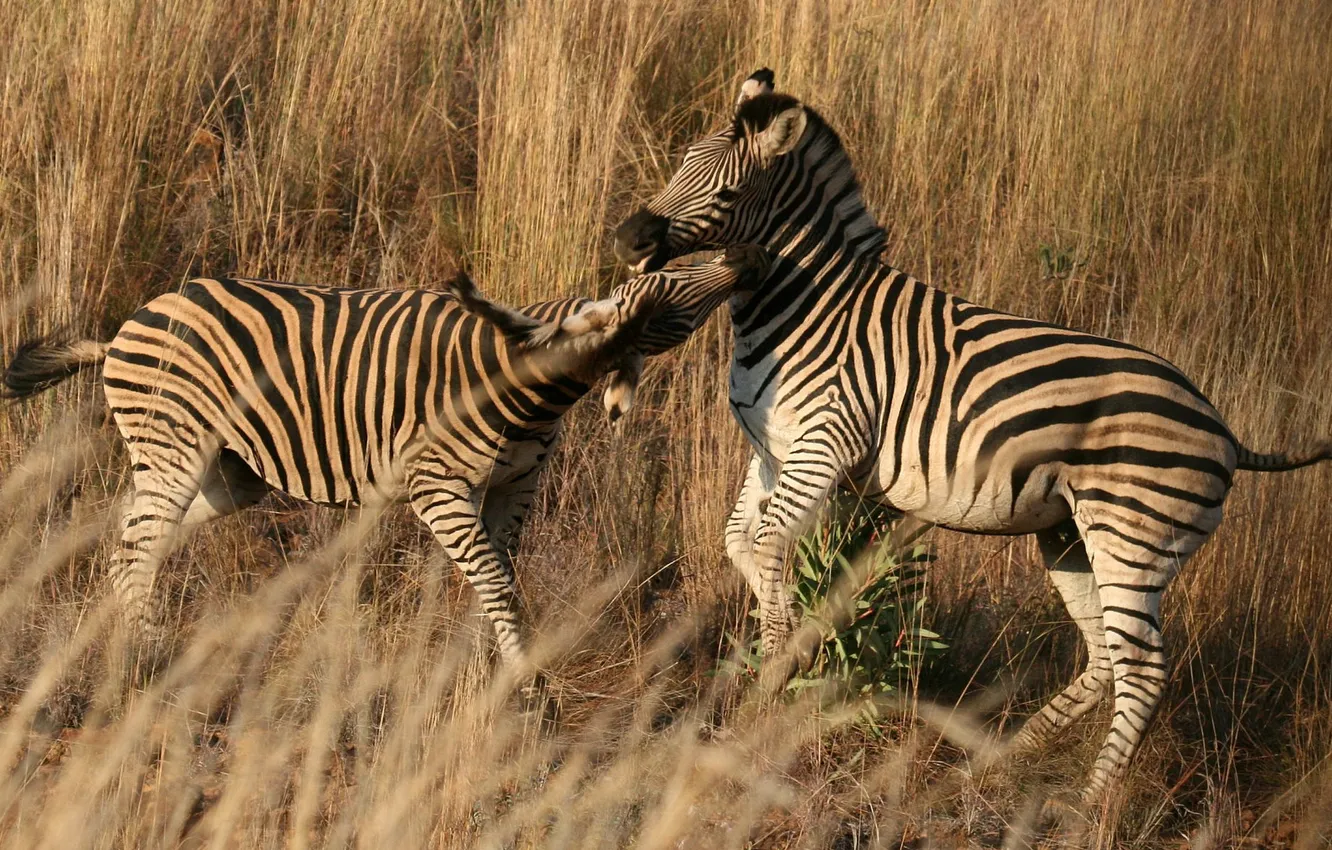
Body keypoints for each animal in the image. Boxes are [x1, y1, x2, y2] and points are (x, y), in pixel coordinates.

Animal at [1, 245, 768, 685]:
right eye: (667, 290)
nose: (746, 256)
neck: (532, 386)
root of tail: (119, 331)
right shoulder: (439, 486)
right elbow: (492, 573)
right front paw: (524, 679)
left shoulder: (516, 485)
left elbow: (501, 573)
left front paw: (486, 660)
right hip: (177, 444)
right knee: (139, 541)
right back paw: (151, 659)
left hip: (228, 473)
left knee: (131, 534)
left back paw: (126, 633)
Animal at [613, 68, 1332, 800]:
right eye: (680, 163)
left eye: (727, 193)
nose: (628, 237)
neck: (803, 304)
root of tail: (1225, 429)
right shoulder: (773, 452)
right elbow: (741, 544)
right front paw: (787, 655)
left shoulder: (826, 440)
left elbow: (766, 544)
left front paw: (772, 681)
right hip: (1071, 535)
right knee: (1106, 654)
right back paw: (1004, 759)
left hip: (1133, 537)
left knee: (1143, 669)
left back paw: (1088, 805)